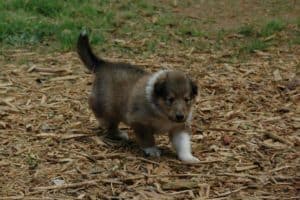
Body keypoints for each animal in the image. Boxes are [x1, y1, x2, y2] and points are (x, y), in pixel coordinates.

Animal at [77, 31, 199, 162]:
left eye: (187, 99)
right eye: (170, 99)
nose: (180, 116)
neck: (162, 113)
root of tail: (104, 65)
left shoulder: (179, 128)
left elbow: (183, 144)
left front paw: (189, 158)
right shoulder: (140, 122)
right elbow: (147, 138)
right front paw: (152, 150)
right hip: (107, 109)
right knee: (108, 123)